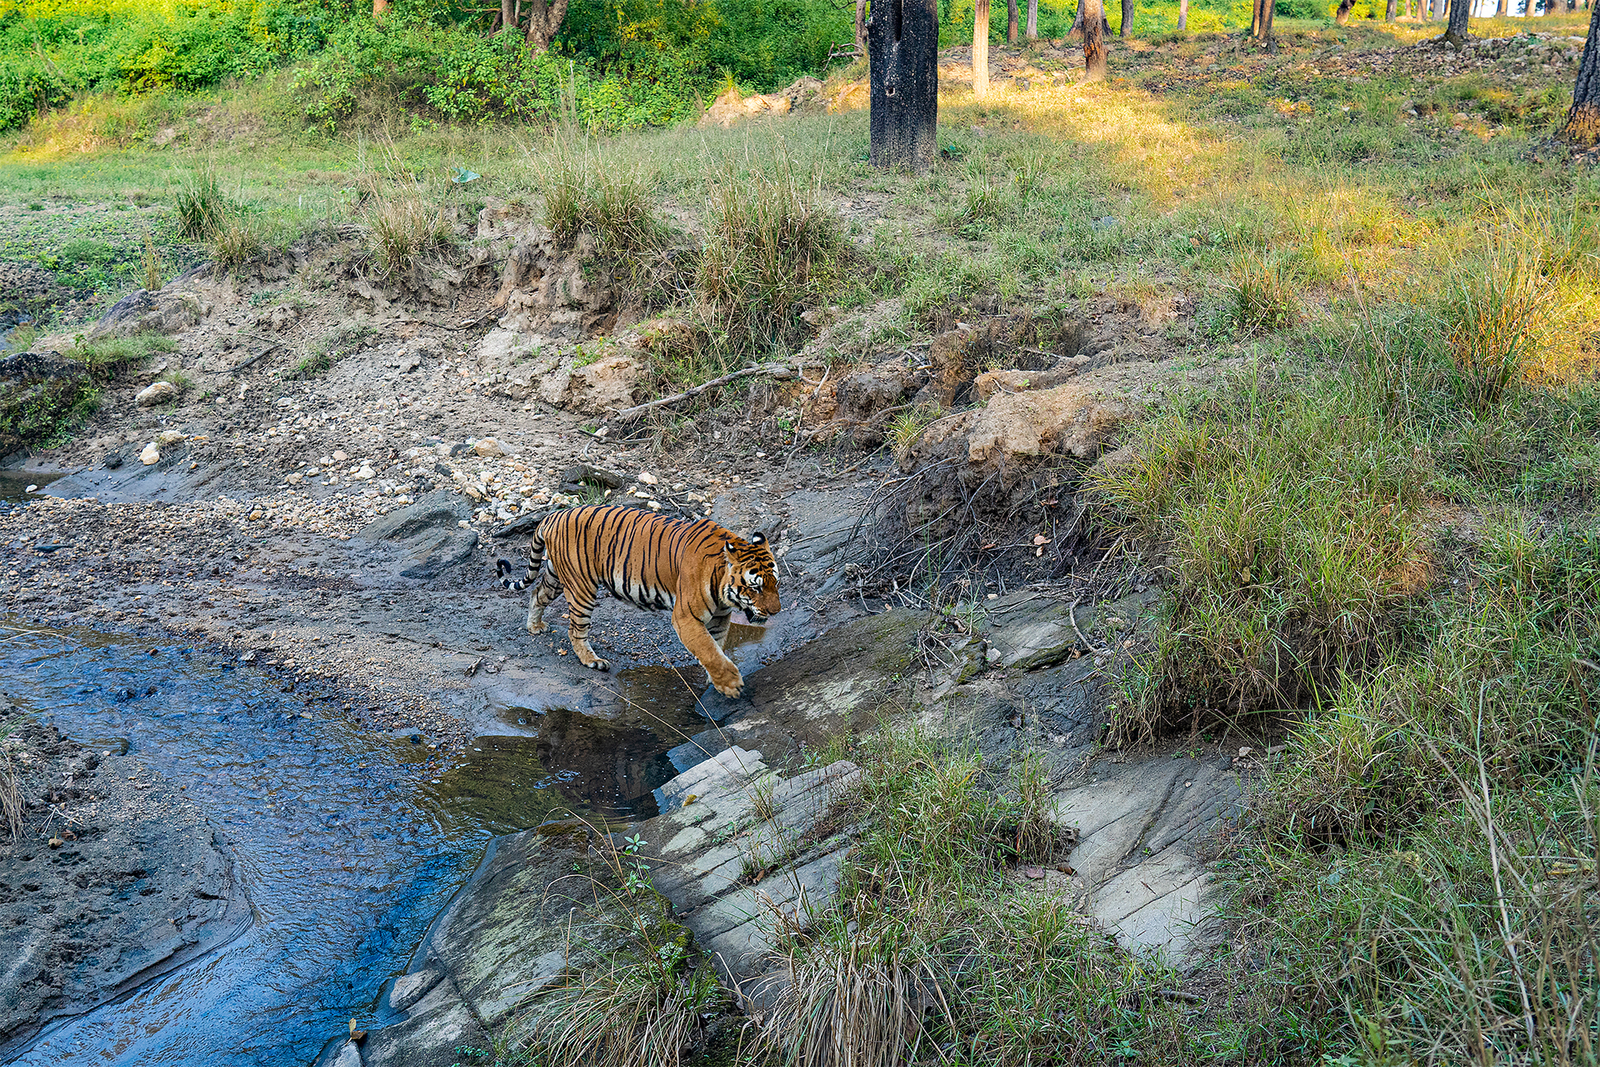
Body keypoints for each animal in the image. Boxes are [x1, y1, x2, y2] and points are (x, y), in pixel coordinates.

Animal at [492, 508, 780, 700]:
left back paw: (534, 626)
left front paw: (718, 682)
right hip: (581, 586)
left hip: (556, 575)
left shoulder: (719, 618)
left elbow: (717, 647)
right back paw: (593, 661)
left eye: (774, 582)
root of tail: (553, 515)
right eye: (756, 587)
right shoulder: (686, 617)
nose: (775, 611)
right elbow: (708, 650)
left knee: (536, 593)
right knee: (576, 629)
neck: (723, 588)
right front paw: (731, 684)